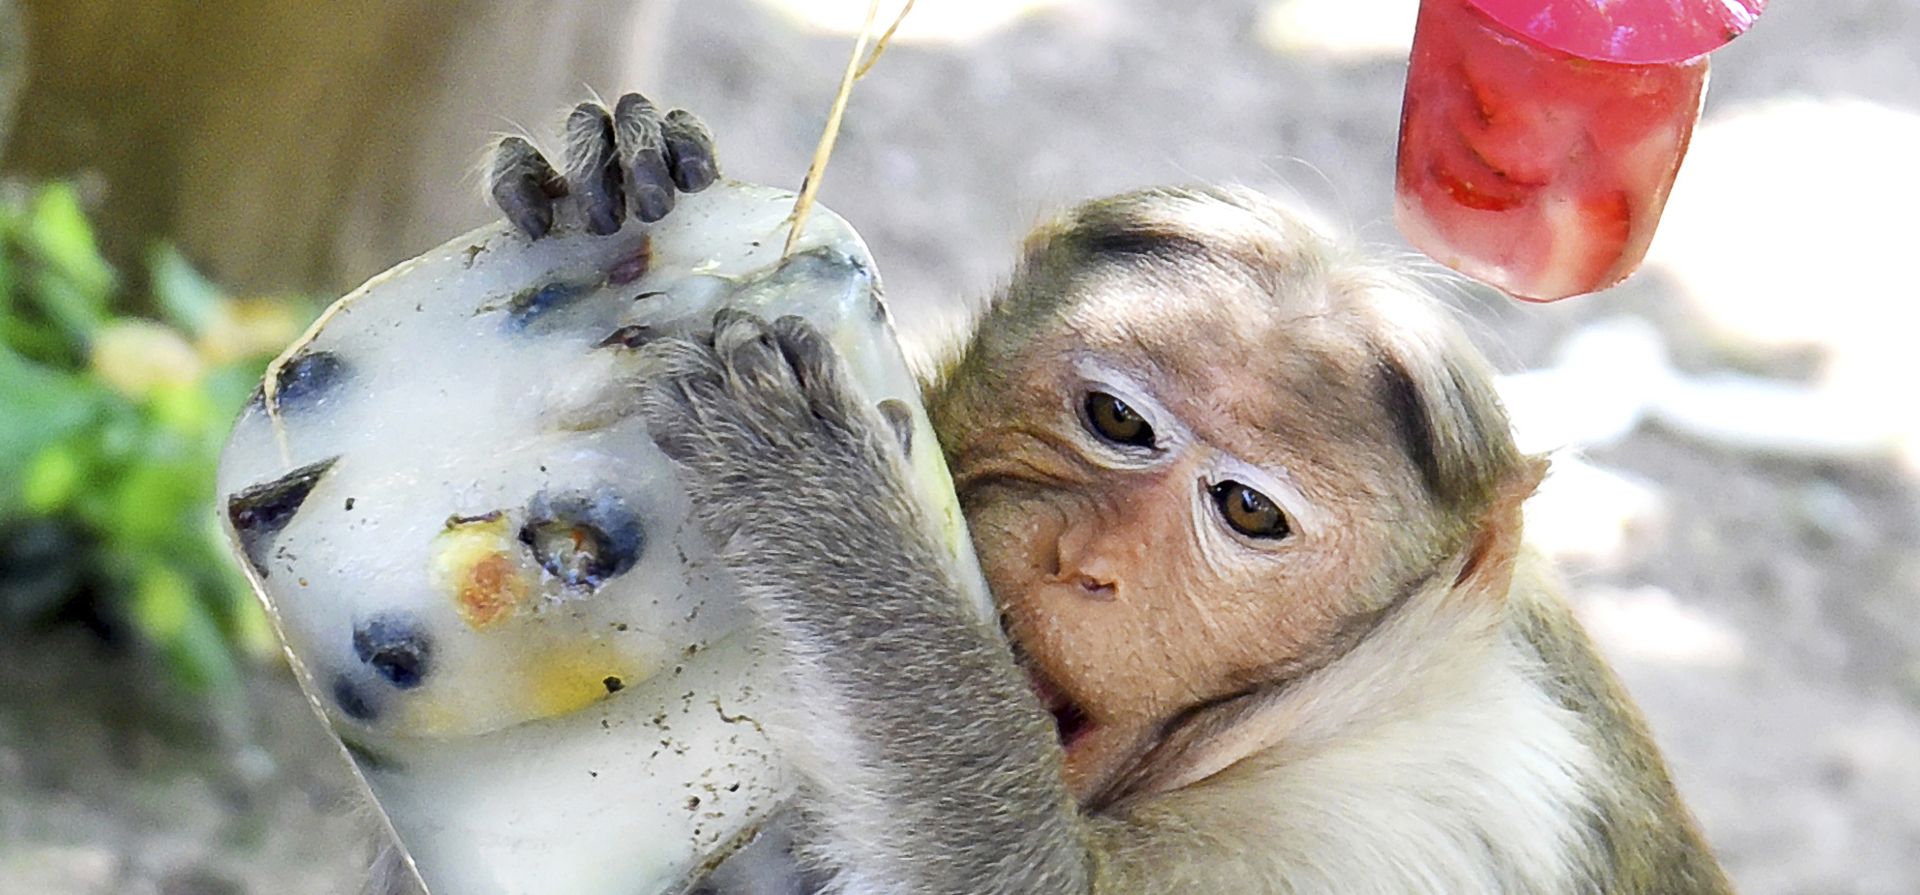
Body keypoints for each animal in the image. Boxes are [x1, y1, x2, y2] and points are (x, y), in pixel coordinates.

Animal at [472, 93, 1731, 894]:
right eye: (1118, 422)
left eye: (1248, 513)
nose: (1082, 563)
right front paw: (615, 180)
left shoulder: (1408, 815)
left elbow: (1034, 881)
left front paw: (828, 511)